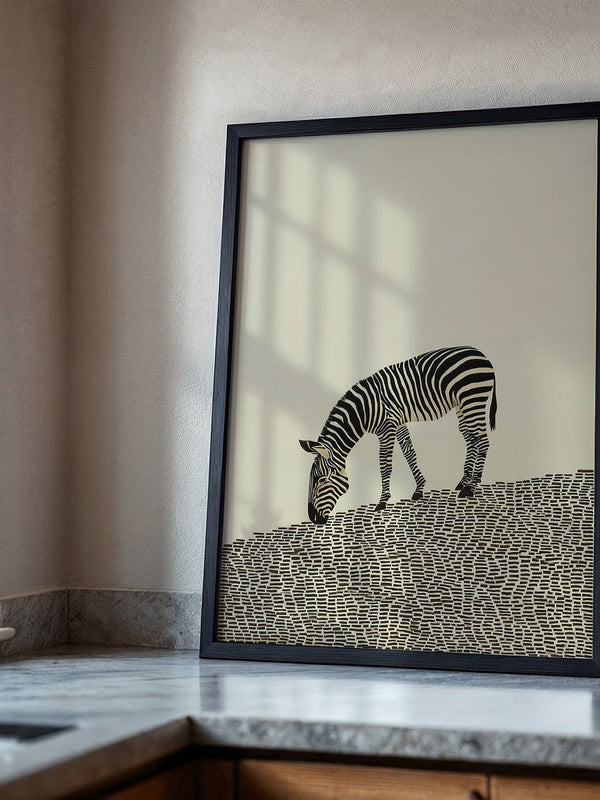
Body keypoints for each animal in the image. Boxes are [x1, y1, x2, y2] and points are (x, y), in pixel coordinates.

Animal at [299, 345, 497, 525]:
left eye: (320, 480)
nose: (313, 519)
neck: (364, 410)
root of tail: (482, 354)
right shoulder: (399, 423)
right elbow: (409, 453)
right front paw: (419, 489)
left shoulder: (386, 429)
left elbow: (385, 465)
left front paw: (382, 501)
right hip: (461, 404)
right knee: (471, 438)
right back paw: (464, 481)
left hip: (473, 400)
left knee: (483, 442)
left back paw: (471, 487)